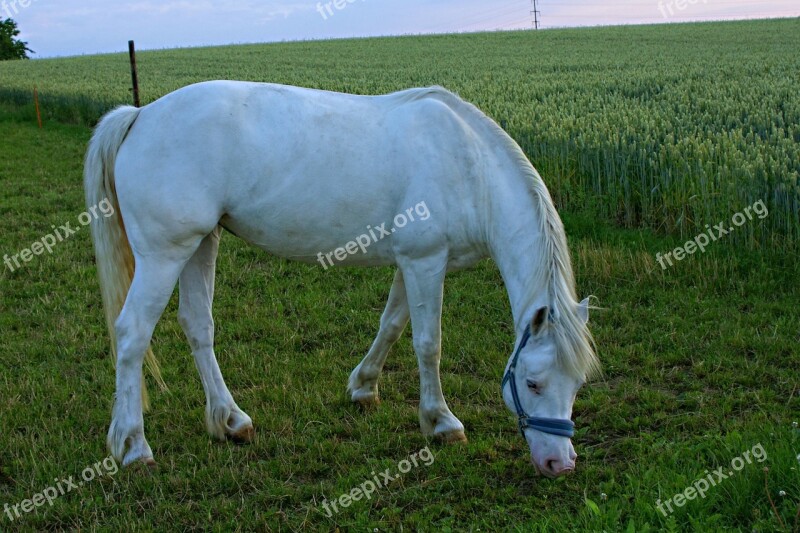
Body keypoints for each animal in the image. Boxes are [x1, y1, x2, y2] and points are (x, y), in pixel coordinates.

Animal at [86, 80, 600, 478]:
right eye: (532, 383)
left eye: (577, 384)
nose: (560, 463)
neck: (469, 164)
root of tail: (140, 115)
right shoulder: (425, 261)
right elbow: (427, 343)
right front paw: (441, 422)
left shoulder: (413, 262)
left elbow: (391, 326)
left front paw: (363, 388)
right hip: (165, 254)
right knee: (133, 334)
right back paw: (133, 446)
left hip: (200, 244)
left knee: (198, 326)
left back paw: (231, 420)